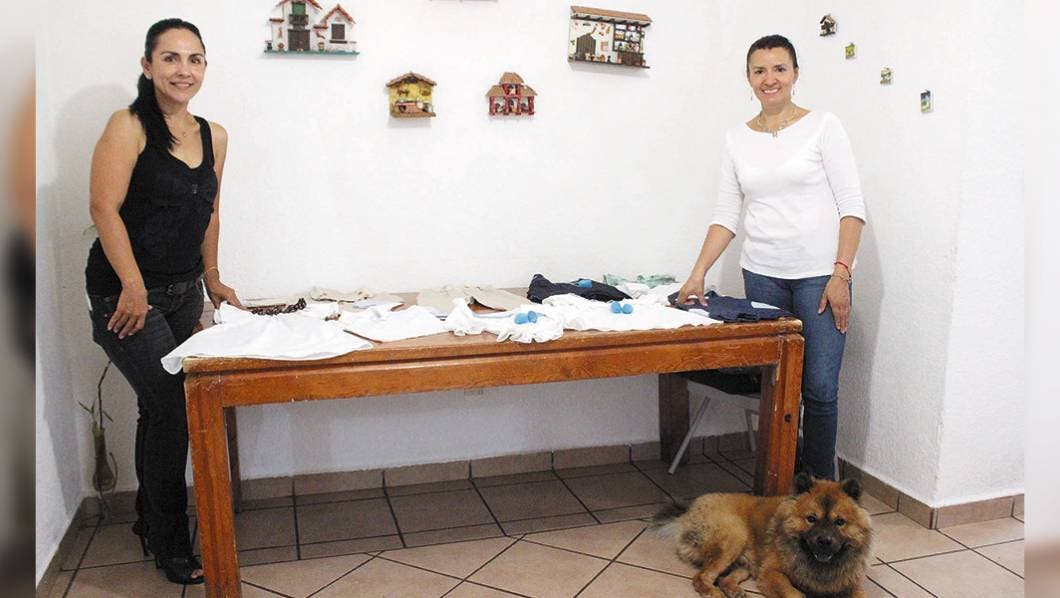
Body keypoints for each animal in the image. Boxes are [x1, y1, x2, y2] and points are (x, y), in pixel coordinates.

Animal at [652, 473, 872, 598]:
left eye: (840, 522)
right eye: (811, 519)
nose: (825, 541)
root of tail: (687, 514)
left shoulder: (851, 584)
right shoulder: (772, 573)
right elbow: (795, 594)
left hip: (747, 562)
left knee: (725, 578)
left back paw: (734, 590)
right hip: (734, 536)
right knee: (701, 577)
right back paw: (713, 592)